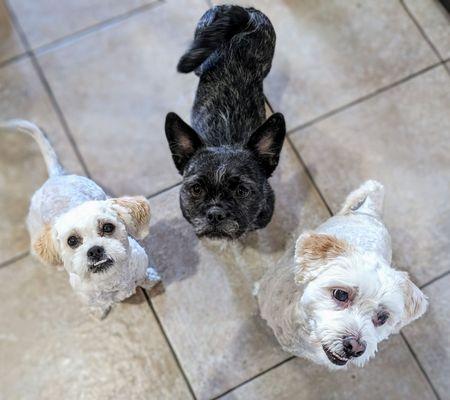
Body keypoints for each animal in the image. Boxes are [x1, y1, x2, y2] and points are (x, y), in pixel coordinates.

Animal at [0, 120, 160, 318]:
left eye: (108, 227)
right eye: (72, 241)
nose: (95, 250)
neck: (111, 279)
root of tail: (55, 178)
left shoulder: (140, 266)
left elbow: (144, 276)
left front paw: (150, 280)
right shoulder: (87, 296)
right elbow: (98, 304)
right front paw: (100, 312)